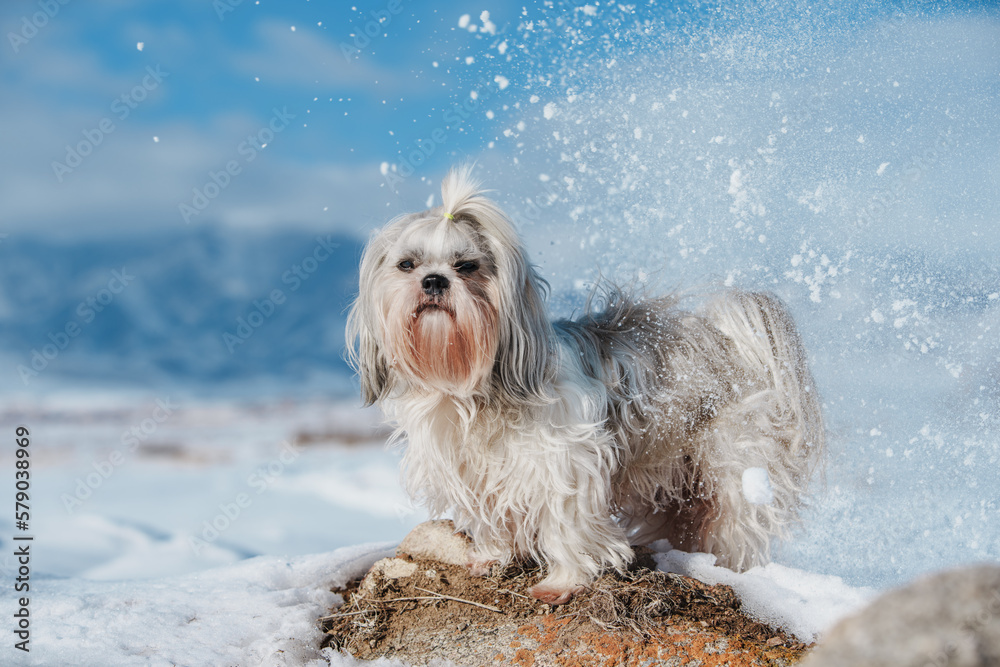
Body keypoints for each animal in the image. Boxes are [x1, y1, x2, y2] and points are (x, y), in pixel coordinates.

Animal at [348, 166, 824, 604]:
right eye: (406, 264)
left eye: (467, 266)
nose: (434, 280)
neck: (475, 388)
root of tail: (731, 339)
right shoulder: (475, 474)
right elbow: (492, 520)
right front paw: (491, 557)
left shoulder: (567, 465)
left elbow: (566, 526)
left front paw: (561, 583)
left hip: (734, 472)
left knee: (735, 527)